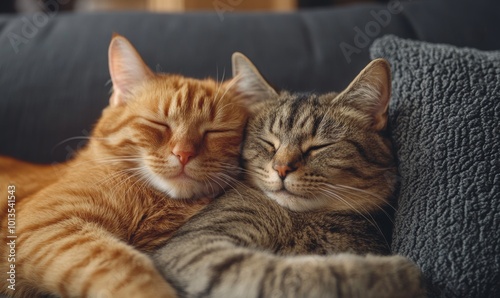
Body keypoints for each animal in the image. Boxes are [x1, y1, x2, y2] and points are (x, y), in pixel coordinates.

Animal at [0, 35, 256, 298]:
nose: (183, 154)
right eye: (159, 124)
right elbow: (129, 269)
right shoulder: (50, 223)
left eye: (216, 131)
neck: (157, 202)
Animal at [153, 54, 426, 296]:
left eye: (318, 147)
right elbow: (294, 274)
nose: (282, 168)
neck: (299, 219)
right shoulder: (195, 248)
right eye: (269, 143)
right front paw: (397, 275)